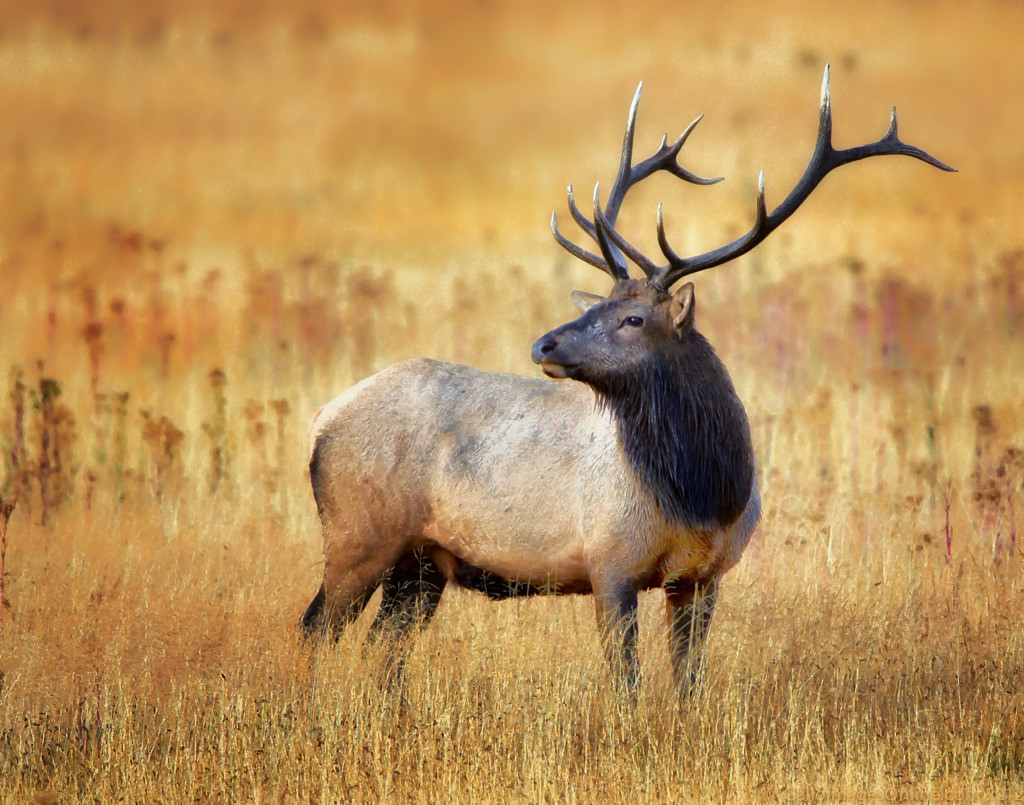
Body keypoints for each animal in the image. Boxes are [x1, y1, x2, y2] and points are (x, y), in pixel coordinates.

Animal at [300, 66, 953, 692]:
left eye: (633, 318)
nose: (544, 343)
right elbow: (627, 683)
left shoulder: (704, 576)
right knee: (315, 627)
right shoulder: (609, 562)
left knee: (384, 648)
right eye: (603, 305)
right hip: (357, 536)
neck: (706, 494)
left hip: (423, 563)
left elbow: (688, 683)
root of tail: (322, 420)